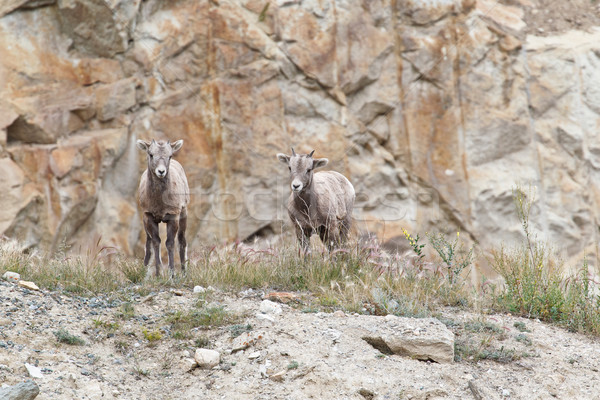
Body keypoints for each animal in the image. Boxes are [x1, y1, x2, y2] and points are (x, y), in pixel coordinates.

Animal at [138, 139, 190, 276]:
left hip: (183, 214)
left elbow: (170, 244)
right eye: (151, 154)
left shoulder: (173, 216)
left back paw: (184, 273)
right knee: (148, 244)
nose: (161, 172)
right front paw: (158, 274)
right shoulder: (149, 217)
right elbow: (156, 243)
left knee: (182, 241)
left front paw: (172, 274)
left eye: (170, 156)